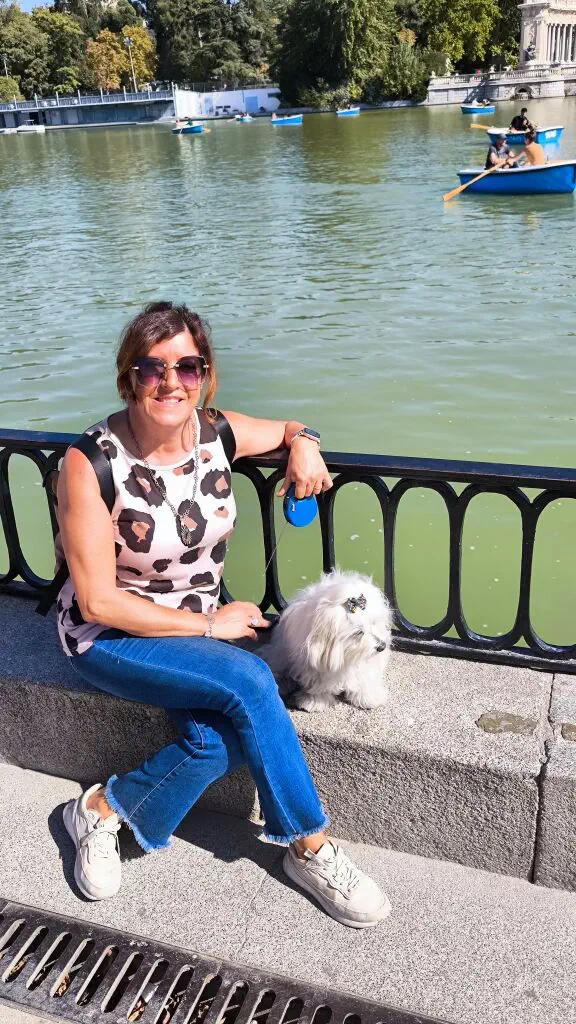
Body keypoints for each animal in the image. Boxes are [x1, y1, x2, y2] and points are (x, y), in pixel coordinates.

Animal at [264, 570, 392, 712]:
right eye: (358, 632)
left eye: (374, 623)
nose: (382, 646)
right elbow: (318, 681)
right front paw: (314, 700)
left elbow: (364, 675)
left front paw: (368, 696)